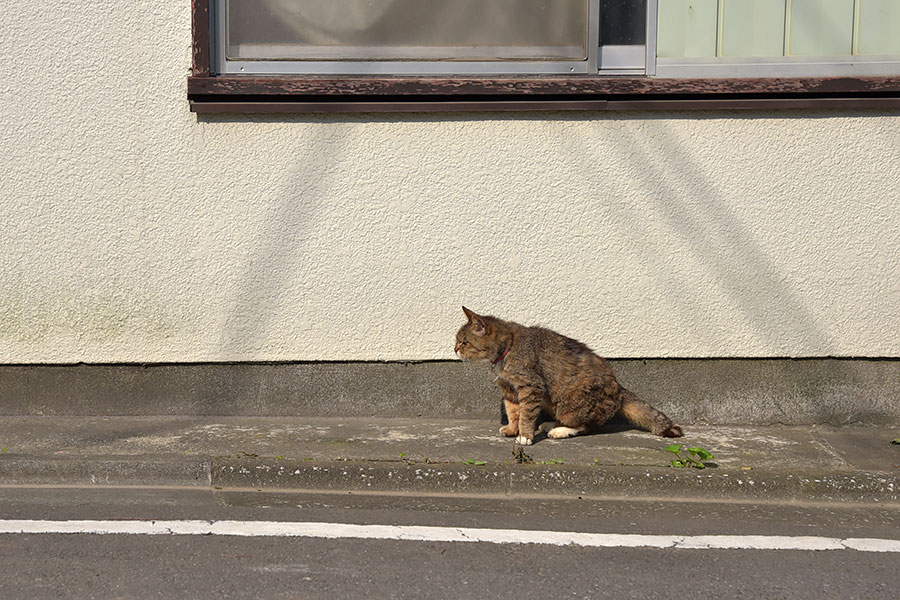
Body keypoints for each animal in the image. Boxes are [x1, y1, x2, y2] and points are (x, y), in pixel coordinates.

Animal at [454, 308, 684, 442]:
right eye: (457, 341)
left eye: (464, 342)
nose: (454, 349)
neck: (505, 350)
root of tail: (620, 387)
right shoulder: (509, 388)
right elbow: (513, 411)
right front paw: (512, 428)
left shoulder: (531, 385)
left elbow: (526, 414)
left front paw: (525, 435)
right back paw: (551, 424)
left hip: (570, 401)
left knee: (587, 426)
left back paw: (559, 430)